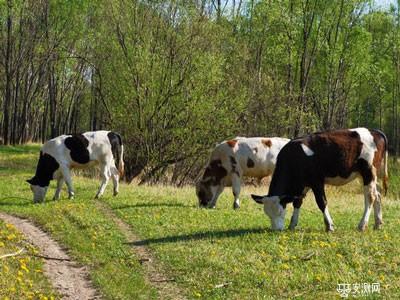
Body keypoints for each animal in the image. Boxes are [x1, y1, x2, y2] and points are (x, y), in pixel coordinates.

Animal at [250, 127, 388, 231]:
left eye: (280, 211)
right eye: (267, 213)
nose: (276, 230)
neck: (295, 156)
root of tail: (375, 131)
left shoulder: (316, 181)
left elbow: (322, 202)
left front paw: (329, 226)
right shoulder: (303, 184)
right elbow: (297, 202)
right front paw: (292, 224)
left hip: (368, 171)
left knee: (370, 197)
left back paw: (362, 225)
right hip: (365, 175)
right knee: (377, 195)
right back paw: (378, 223)